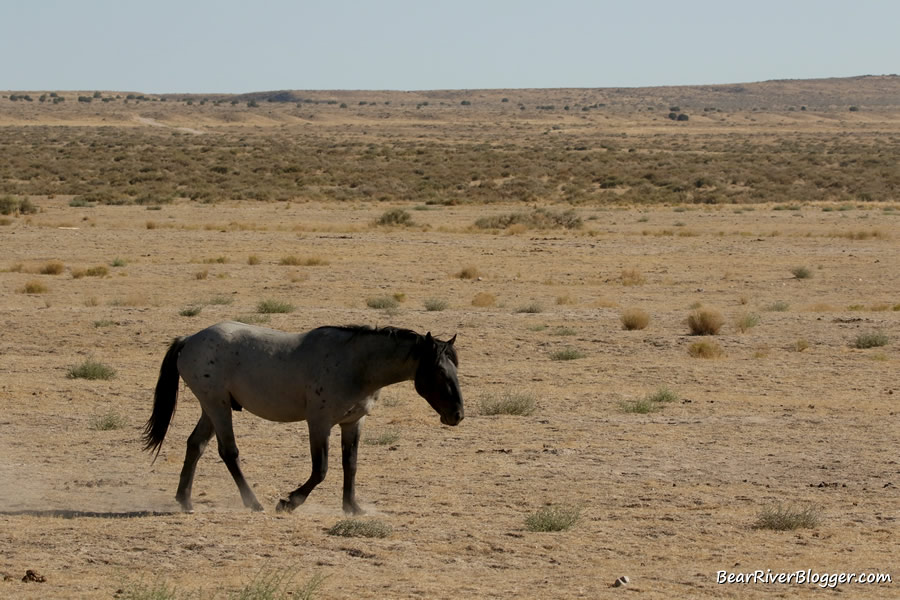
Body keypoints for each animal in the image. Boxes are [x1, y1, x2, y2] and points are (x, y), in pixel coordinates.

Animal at [142, 322, 464, 512]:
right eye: (439, 372)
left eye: (455, 369)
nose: (457, 415)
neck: (356, 365)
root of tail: (189, 339)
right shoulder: (319, 423)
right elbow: (320, 469)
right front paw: (289, 501)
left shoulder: (353, 423)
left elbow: (350, 465)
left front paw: (352, 507)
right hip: (217, 405)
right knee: (228, 451)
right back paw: (253, 502)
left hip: (211, 408)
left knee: (195, 445)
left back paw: (185, 500)